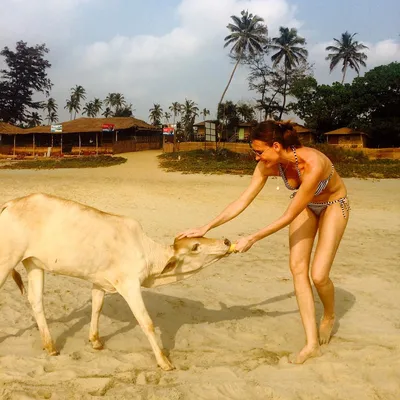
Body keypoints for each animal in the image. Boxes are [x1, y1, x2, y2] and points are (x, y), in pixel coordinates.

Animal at [0, 192, 234, 370]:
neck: (148, 255)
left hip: (34, 263)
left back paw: (50, 346)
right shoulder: (130, 285)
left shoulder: (99, 281)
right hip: (7, 259)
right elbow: (146, 322)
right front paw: (164, 362)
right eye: (195, 247)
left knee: (36, 300)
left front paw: (95, 341)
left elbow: (96, 308)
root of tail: (10, 203)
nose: (226, 241)